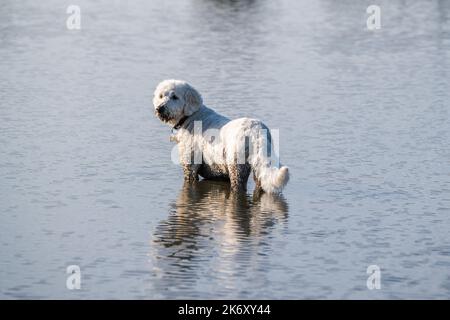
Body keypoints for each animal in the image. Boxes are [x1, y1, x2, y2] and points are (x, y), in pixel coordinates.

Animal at [153, 80, 290, 195]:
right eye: (161, 96)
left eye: (175, 97)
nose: (159, 108)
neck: (190, 117)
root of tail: (256, 129)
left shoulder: (190, 168)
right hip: (258, 166)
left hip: (236, 168)